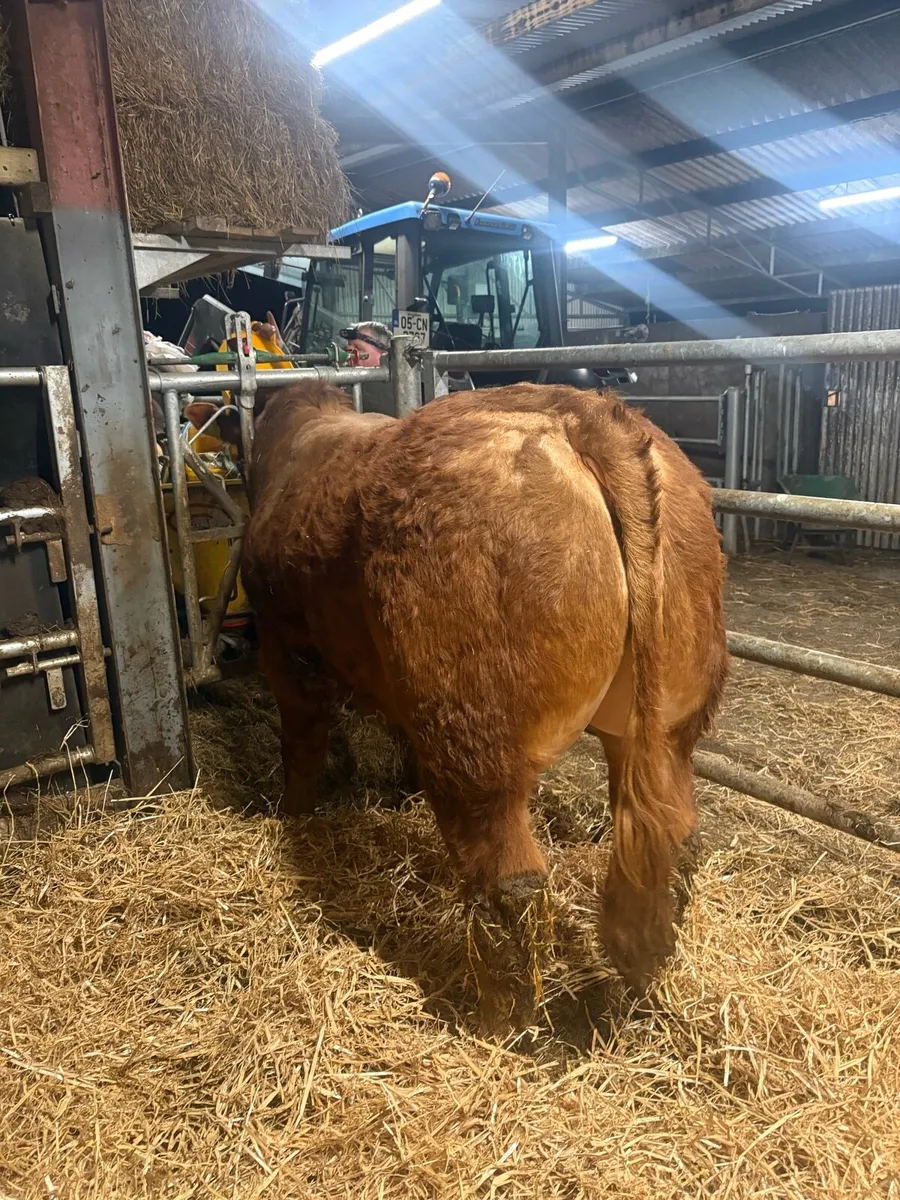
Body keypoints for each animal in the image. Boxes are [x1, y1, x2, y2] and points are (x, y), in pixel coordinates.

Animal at [196, 381, 728, 1023]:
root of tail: (582, 412)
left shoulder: (283, 643)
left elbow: (302, 742)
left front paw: (293, 813)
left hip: (473, 735)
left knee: (512, 877)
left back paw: (504, 1011)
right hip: (669, 718)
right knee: (673, 835)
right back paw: (644, 967)